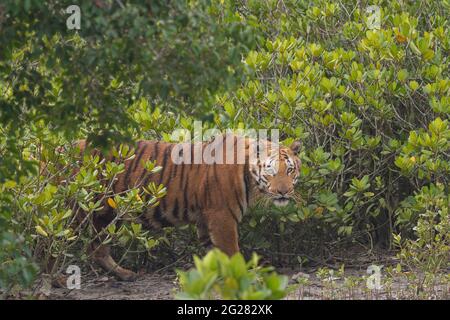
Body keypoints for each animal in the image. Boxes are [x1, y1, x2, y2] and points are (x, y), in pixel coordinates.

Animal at [72, 134, 300, 282]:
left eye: (290, 170)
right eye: (270, 170)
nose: (284, 192)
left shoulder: (206, 220)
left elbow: (214, 253)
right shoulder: (222, 217)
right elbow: (231, 251)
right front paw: (245, 276)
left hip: (105, 215)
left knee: (97, 249)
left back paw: (124, 274)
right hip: (80, 209)